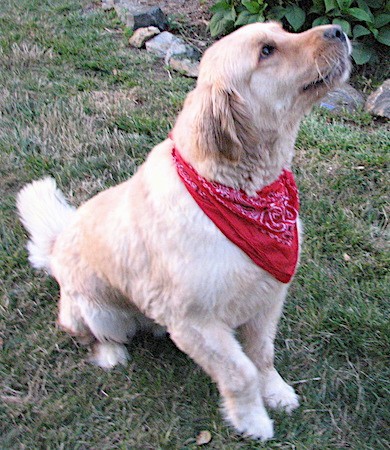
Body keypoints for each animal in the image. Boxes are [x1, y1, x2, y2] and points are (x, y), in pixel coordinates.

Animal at [17, 22, 350, 442]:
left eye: (281, 31)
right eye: (267, 51)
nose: (339, 30)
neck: (242, 191)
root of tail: (58, 242)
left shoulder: (267, 296)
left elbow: (262, 355)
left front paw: (275, 392)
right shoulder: (194, 322)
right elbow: (240, 372)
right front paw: (252, 420)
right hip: (96, 311)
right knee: (95, 334)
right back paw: (111, 355)